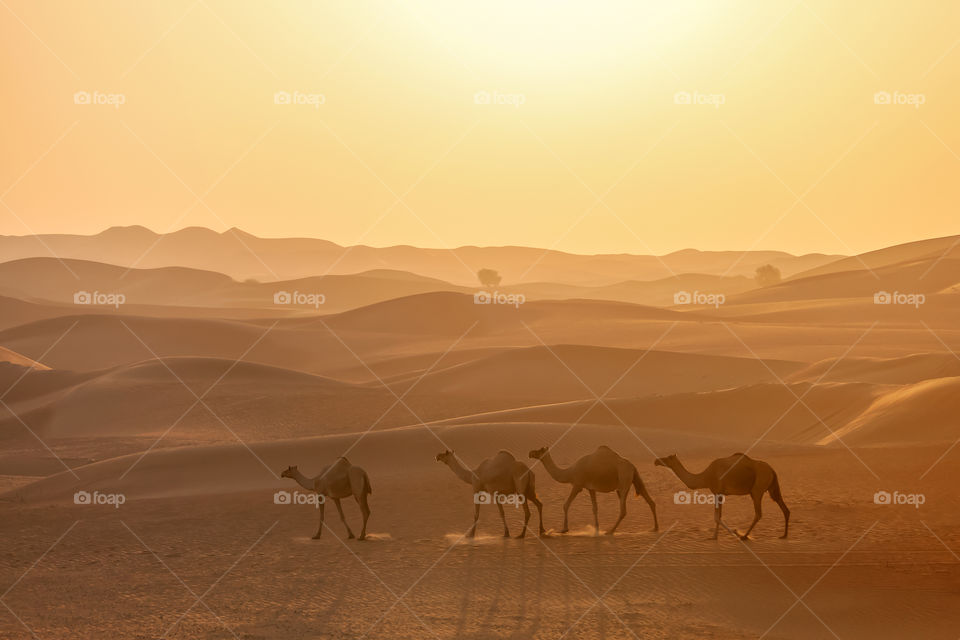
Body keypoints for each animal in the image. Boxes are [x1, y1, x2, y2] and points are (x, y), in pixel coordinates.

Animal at [528, 444, 656, 536]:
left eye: (539, 450)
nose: (530, 453)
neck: (570, 472)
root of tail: (632, 466)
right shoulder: (590, 488)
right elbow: (595, 508)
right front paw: (596, 529)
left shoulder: (577, 485)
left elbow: (566, 504)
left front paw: (564, 529)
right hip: (635, 478)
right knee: (650, 501)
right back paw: (655, 528)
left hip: (624, 480)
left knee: (623, 510)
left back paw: (610, 531)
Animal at [656, 452, 792, 536]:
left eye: (667, 458)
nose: (656, 460)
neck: (705, 477)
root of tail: (772, 470)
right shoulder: (720, 493)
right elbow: (718, 516)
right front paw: (716, 536)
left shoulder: (718, 492)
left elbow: (717, 517)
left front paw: (733, 532)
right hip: (771, 487)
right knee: (783, 506)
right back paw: (784, 535)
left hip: (757, 489)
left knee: (758, 513)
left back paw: (745, 536)